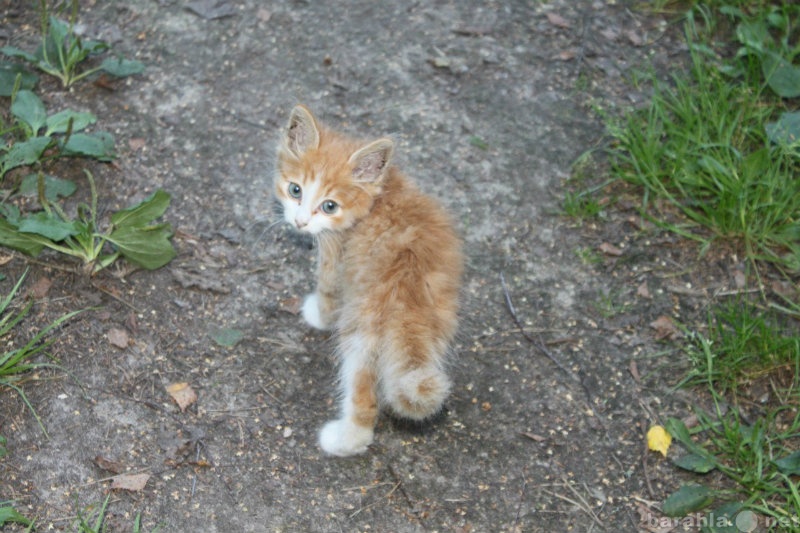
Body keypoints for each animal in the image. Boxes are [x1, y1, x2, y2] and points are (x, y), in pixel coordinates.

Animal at [276, 106, 462, 456]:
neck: (382, 192)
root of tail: (410, 286)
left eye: (329, 206)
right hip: (439, 323)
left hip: (362, 327)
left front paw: (315, 314)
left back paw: (344, 439)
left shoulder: (335, 256)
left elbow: (327, 292)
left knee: (364, 396)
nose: (300, 222)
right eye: (295, 190)